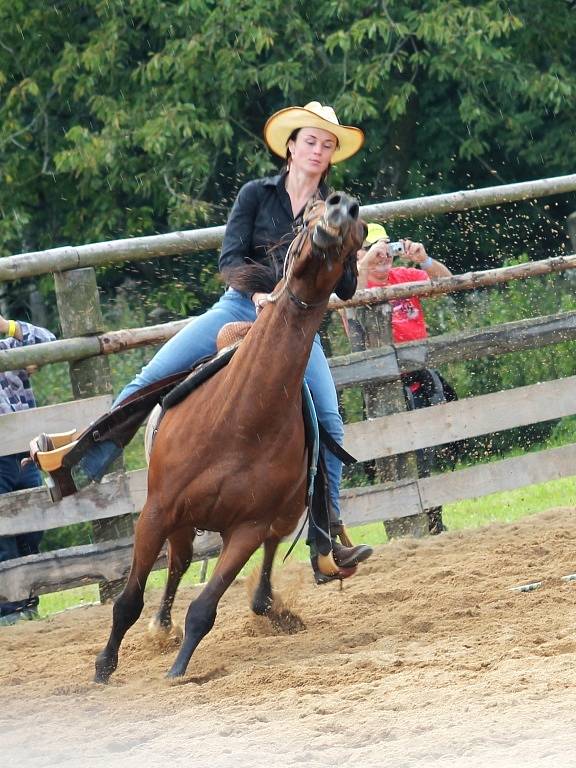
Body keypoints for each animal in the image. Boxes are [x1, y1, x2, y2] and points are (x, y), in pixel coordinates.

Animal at [94, 194, 364, 684]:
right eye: (308, 215)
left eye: (361, 232)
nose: (343, 208)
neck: (240, 420)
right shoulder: (157, 511)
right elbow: (128, 601)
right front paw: (104, 668)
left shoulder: (248, 528)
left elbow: (205, 608)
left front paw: (179, 671)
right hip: (179, 521)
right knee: (178, 564)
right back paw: (161, 625)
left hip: (281, 511)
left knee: (272, 547)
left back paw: (271, 604)